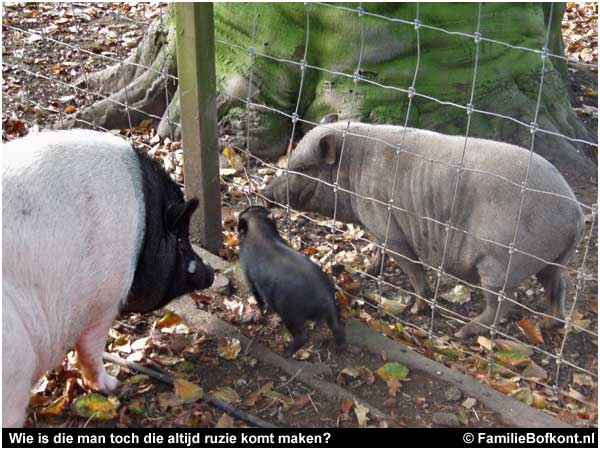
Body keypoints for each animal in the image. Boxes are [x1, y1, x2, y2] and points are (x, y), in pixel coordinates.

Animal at [1, 129, 213, 426]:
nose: (211, 272)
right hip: (15, 360)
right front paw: (112, 385)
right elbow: (91, 348)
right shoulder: (104, 301)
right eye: (181, 239)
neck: (145, 234)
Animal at [237, 205, 344, 356]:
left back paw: (286, 352)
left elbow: (259, 300)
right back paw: (340, 349)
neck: (259, 229)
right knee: (338, 328)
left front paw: (262, 313)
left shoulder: (250, 278)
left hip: (289, 313)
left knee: (302, 337)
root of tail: (326, 298)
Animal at [264, 114, 584, 340]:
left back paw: (462, 332)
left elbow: (411, 266)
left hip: (500, 263)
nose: (266, 193)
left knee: (504, 303)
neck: (352, 173)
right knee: (559, 286)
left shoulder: (389, 225)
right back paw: (550, 325)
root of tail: (576, 214)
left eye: (303, 168)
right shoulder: (379, 226)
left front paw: (416, 308)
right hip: (554, 260)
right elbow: (378, 249)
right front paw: (368, 271)